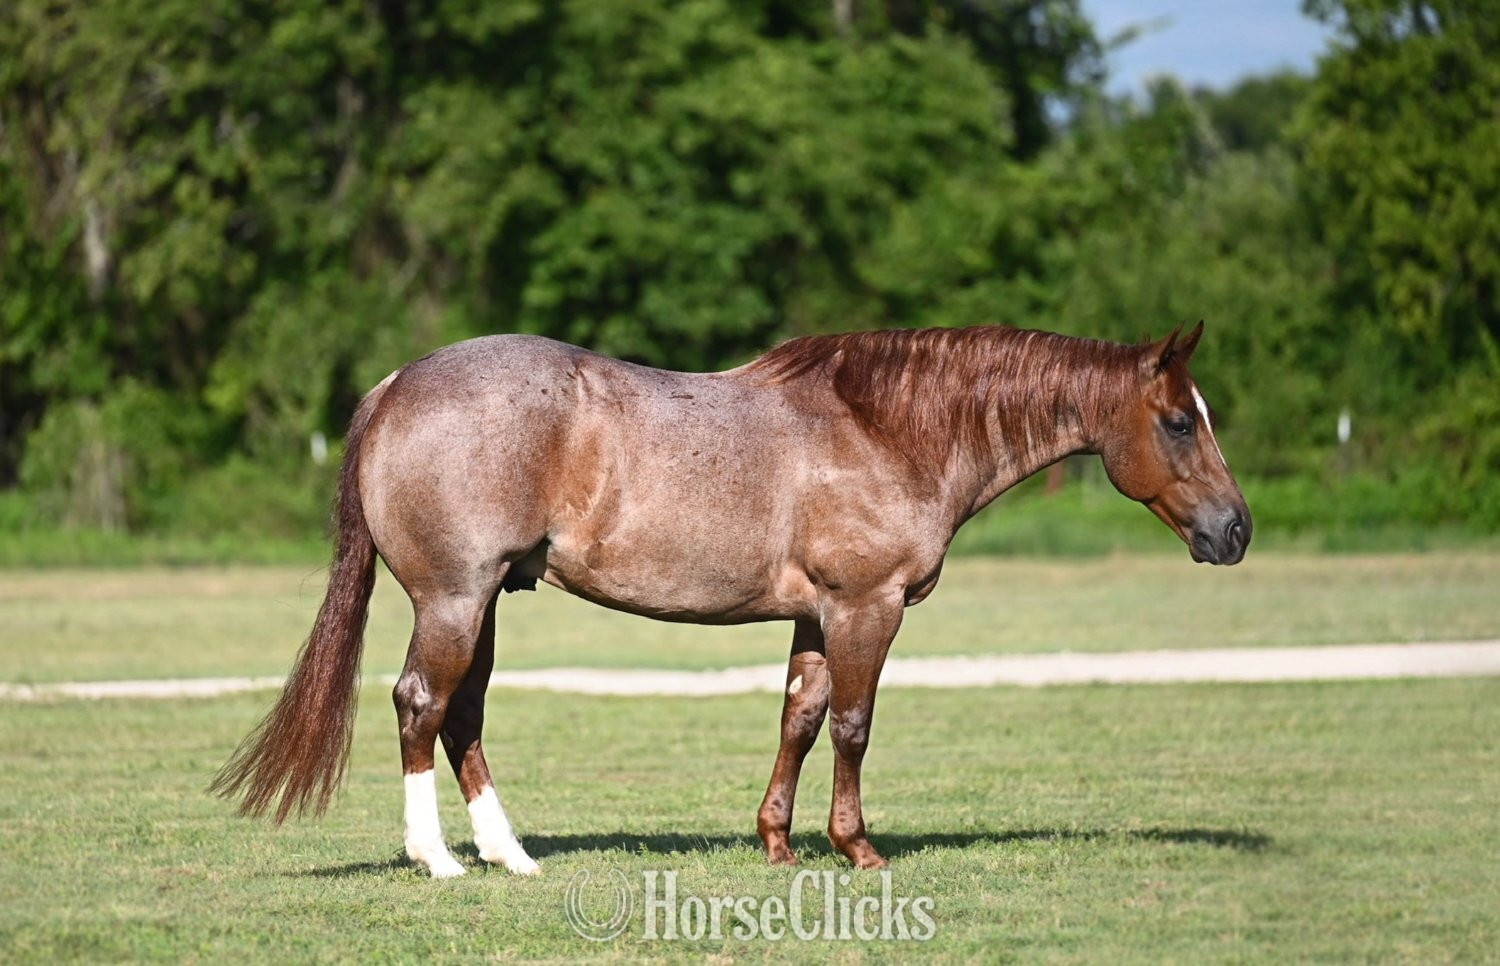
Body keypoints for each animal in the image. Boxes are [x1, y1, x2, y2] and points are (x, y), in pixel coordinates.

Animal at [213, 321, 1250, 877]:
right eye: (1176, 421)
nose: (1235, 531)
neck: (887, 429)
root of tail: (397, 384)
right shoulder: (867, 608)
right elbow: (854, 725)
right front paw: (857, 849)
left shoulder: (817, 617)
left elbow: (799, 717)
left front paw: (779, 844)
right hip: (454, 601)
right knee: (421, 705)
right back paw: (434, 858)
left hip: (488, 603)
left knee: (463, 716)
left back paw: (509, 855)